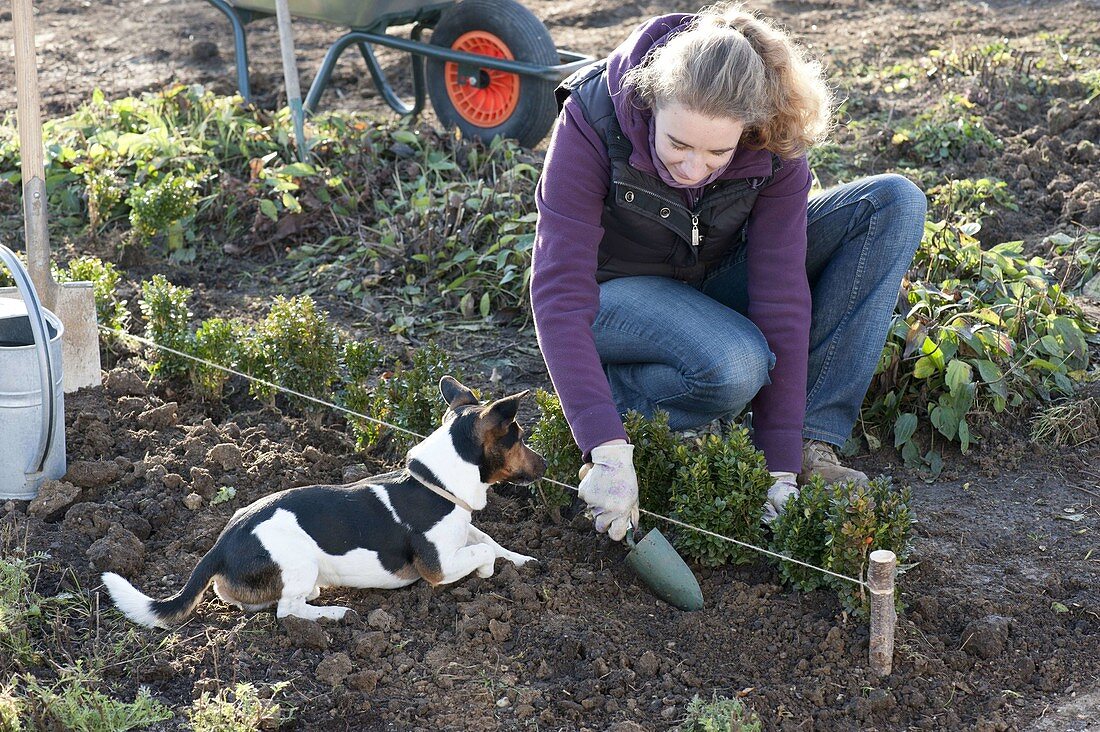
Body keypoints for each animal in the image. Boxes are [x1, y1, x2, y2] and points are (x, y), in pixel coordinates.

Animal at [103, 376, 545, 629]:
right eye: (520, 437)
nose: (544, 464)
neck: (437, 484)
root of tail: (219, 547)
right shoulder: (438, 566)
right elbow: (481, 554)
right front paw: (488, 571)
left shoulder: (463, 530)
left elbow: (490, 541)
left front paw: (522, 561)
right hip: (300, 560)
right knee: (286, 611)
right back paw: (333, 613)